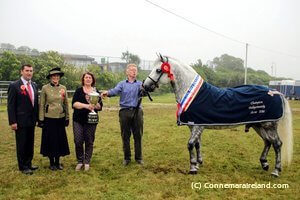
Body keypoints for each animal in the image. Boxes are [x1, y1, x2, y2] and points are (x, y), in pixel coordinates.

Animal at [143, 54, 292, 177]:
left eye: (158, 70)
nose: (145, 86)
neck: (193, 94)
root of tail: (275, 92)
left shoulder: (197, 126)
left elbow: (190, 144)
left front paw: (193, 168)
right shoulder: (195, 126)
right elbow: (197, 144)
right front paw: (198, 163)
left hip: (269, 125)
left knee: (277, 144)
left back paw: (275, 171)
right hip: (259, 125)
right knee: (268, 142)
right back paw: (264, 163)